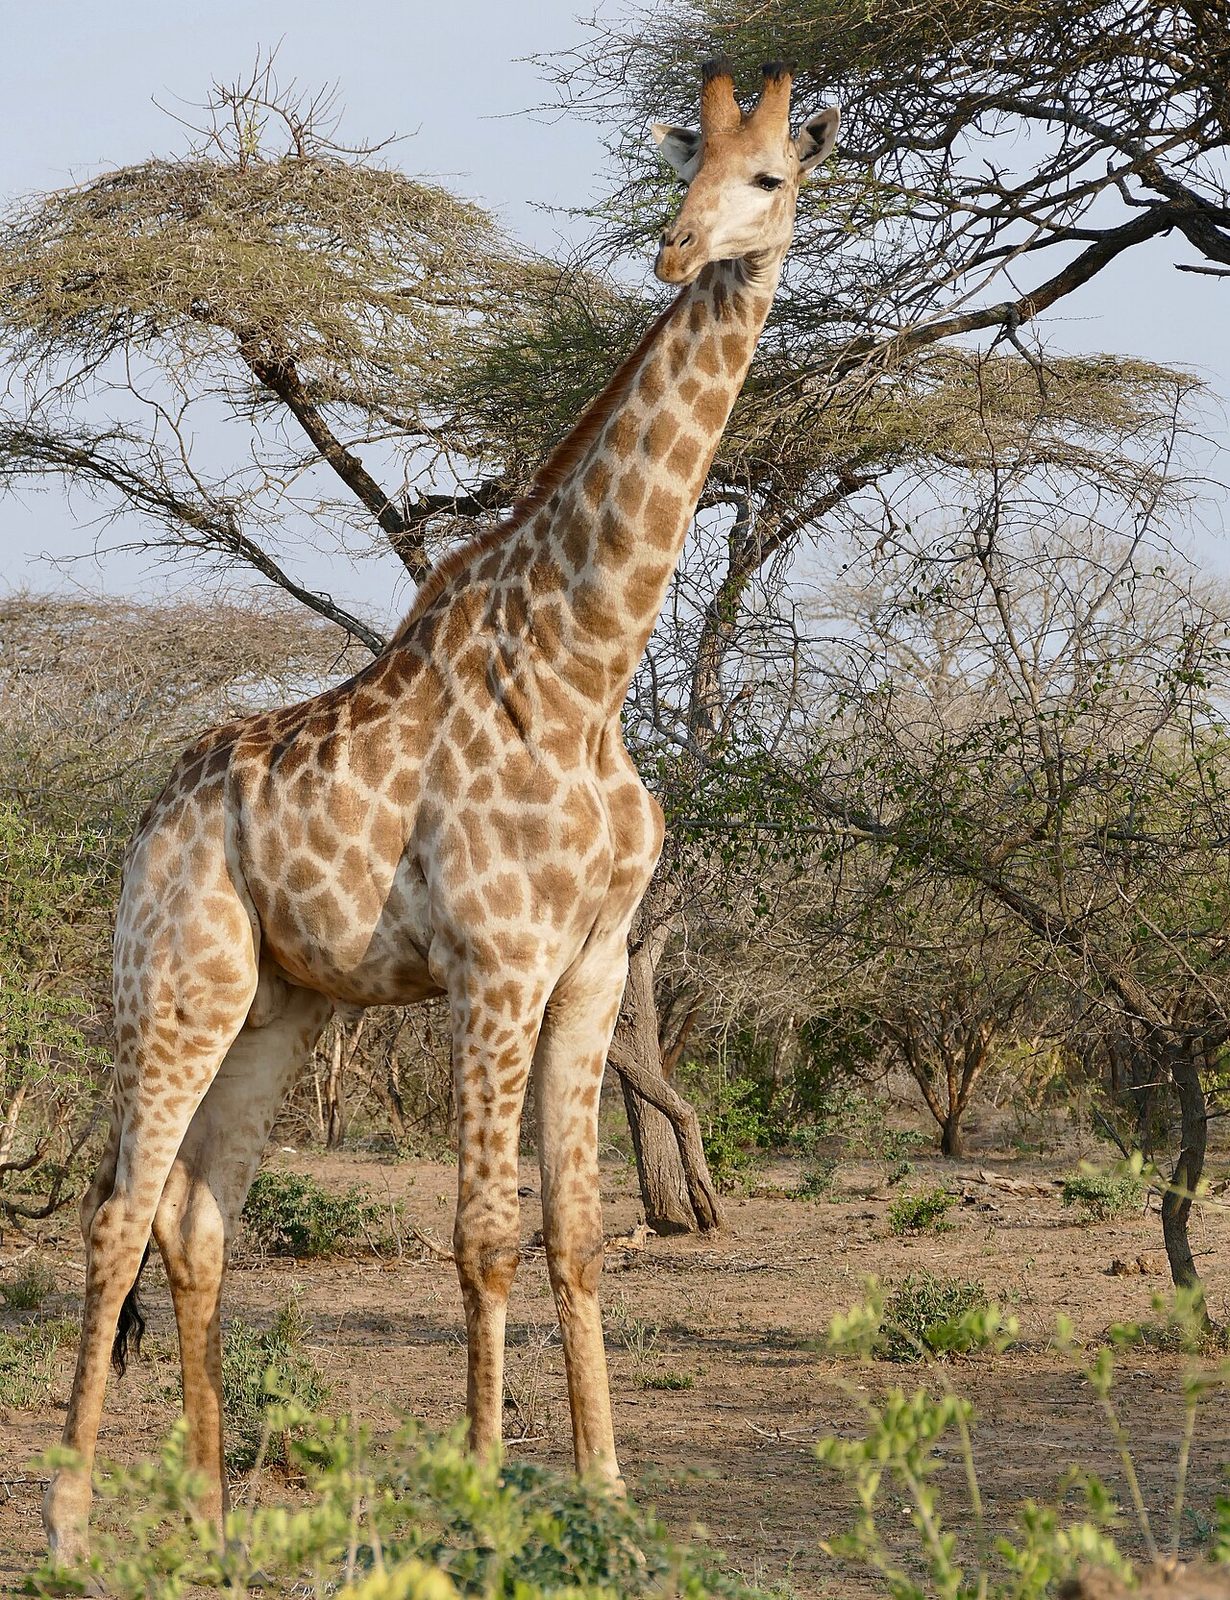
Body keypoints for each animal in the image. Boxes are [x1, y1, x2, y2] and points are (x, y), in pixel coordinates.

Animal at [43, 59, 839, 1569]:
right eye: (688, 165)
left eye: (768, 177)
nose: (674, 251)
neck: (586, 667)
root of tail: (152, 814)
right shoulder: (494, 963)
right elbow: (481, 1233)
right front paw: (480, 1494)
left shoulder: (591, 965)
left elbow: (577, 1232)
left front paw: (605, 1494)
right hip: (173, 982)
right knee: (116, 1212)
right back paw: (67, 1523)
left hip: (277, 1007)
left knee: (198, 1219)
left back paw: (212, 1511)